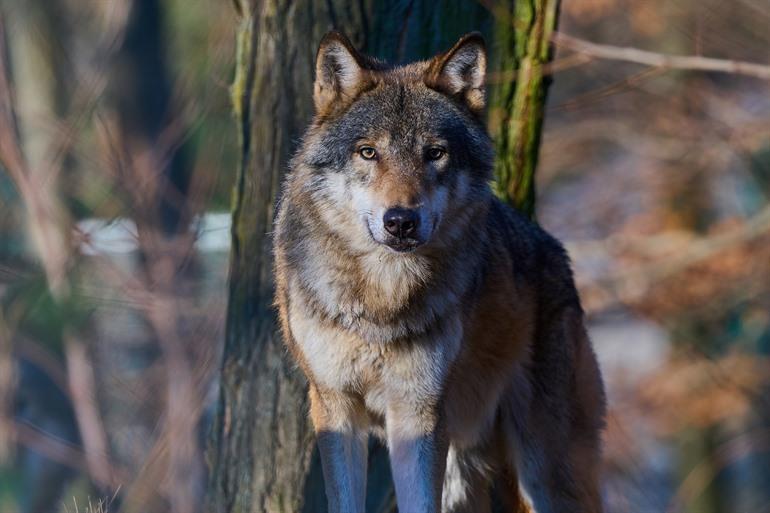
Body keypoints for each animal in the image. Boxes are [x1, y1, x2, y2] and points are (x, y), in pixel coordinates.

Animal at [274, 31, 606, 513]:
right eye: (368, 152)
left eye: (435, 154)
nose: (400, 221)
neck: (381, 299)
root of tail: (555, 250)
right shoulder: (335, 407)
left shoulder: (419, 411)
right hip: (464, 469)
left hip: (546, 469)